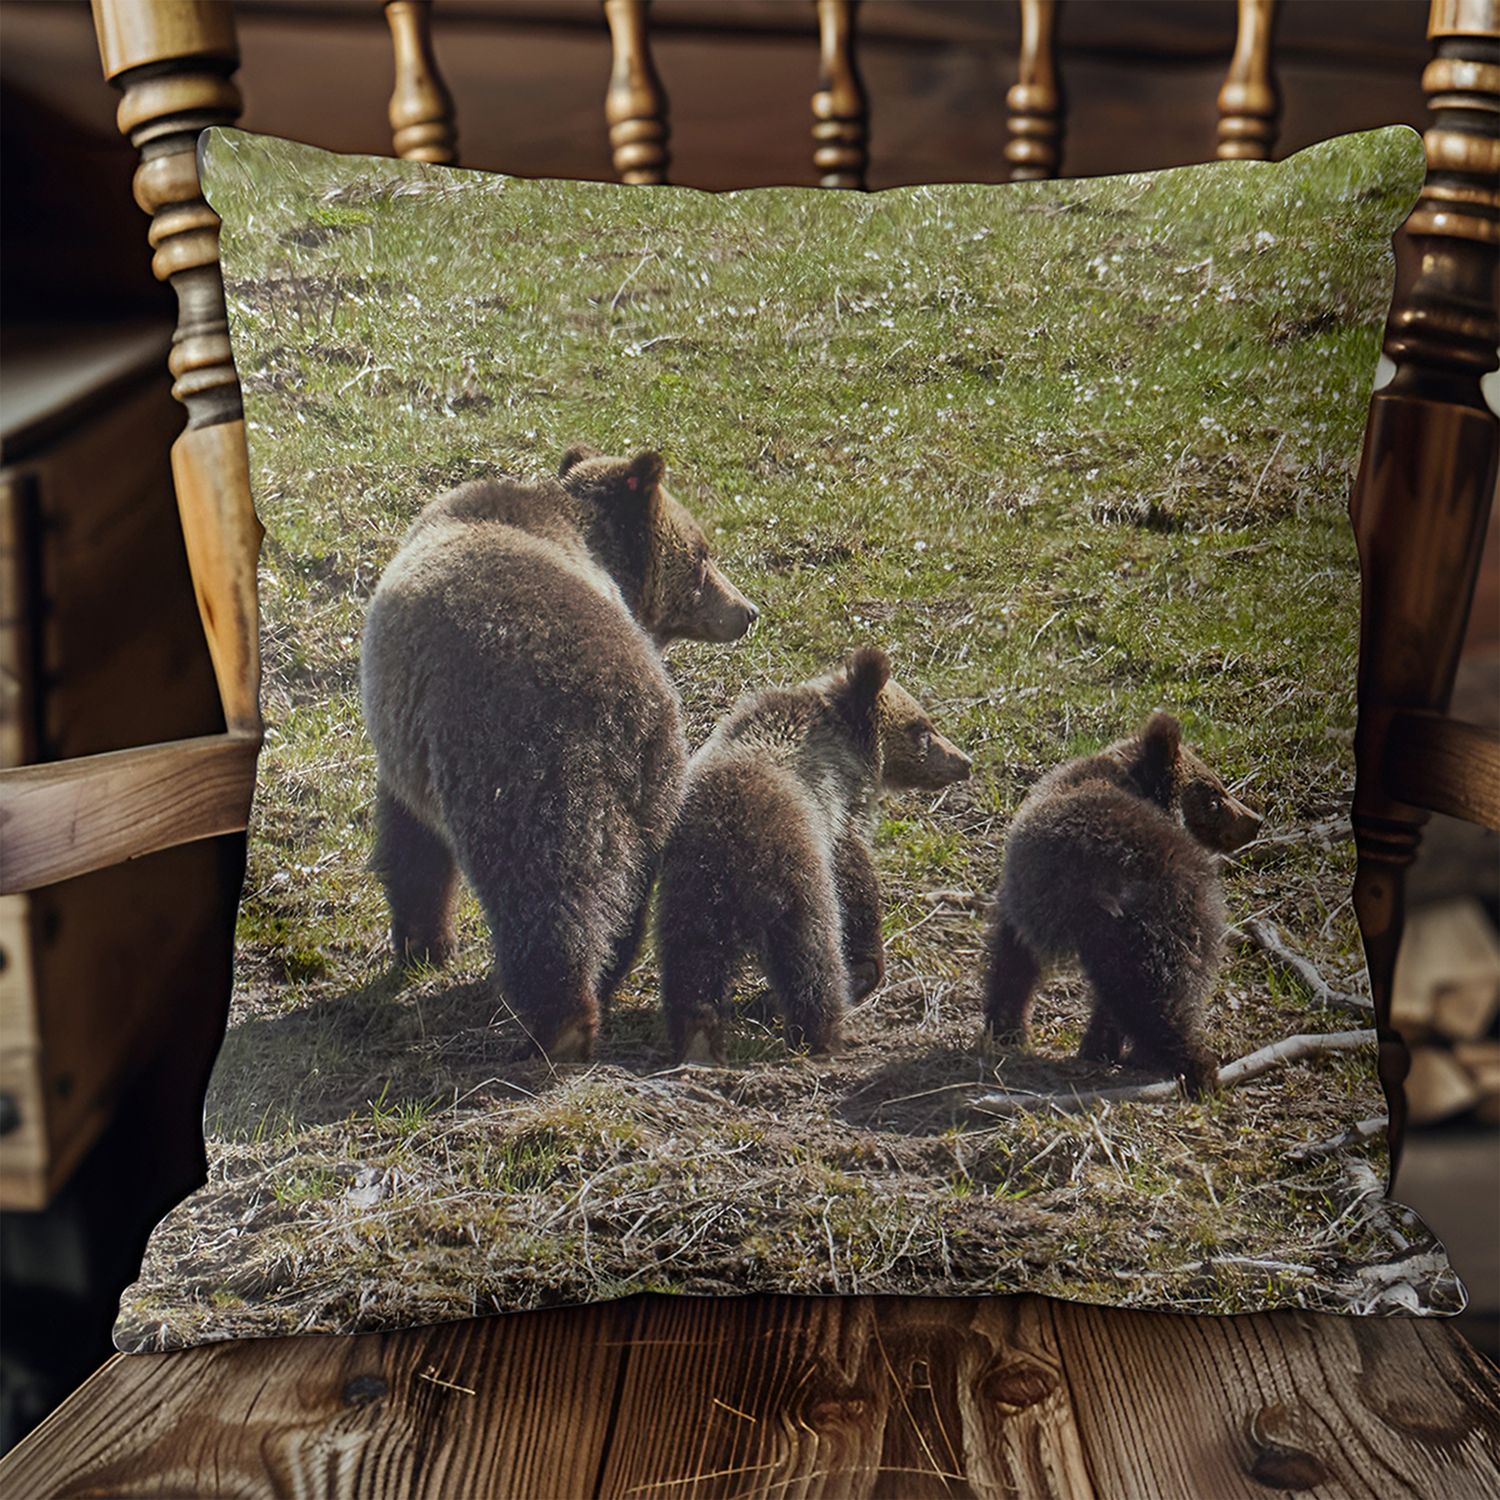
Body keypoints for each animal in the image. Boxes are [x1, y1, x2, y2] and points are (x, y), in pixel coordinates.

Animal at [360, 445, 758, 1061]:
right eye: (702, 555)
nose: (747, 610)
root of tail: (620, 710)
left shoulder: (411, 739)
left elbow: (412, 844)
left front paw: (422, 943)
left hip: (512, 766)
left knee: (539, 894)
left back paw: (557, 1023)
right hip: (653, 785)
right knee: (623, 897)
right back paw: (600, 985)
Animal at [657, 646, 972, 1062]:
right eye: (922, 728)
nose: (964, 762)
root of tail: (732, 841)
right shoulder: (839, 817)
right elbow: (856, 880)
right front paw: (868, 959)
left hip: (691, 894)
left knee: (692, 966)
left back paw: (695, 1031)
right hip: (795, 879)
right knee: (811, 961)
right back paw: (821, 1034)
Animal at [983, 711, 1261, 1097]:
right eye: (1216, 797)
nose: (1254, 820)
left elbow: (1015, 958)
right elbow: (1015, 961)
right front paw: (1011, 1030)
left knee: (1144, 995)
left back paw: (1185, 1064)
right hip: (1171, 924)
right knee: (1163, 990)